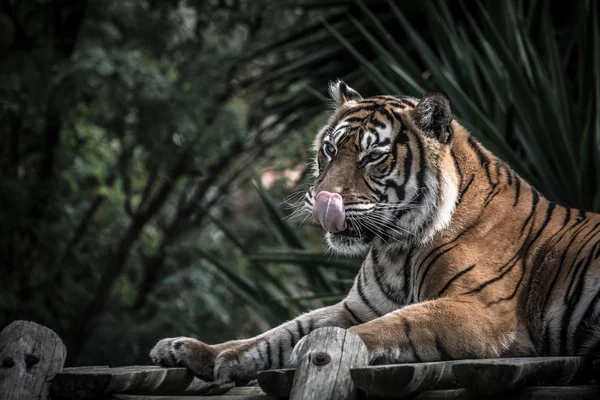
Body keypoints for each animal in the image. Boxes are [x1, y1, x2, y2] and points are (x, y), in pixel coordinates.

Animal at [149, 79, 600, 382]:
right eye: (330, 149)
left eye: (372, 157)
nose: (323, 199)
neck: (397, 247)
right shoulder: (356, 306)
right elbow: (279, 331)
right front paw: (195, 351)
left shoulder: (482, 310)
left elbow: (397, 325)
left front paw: (311, 351)